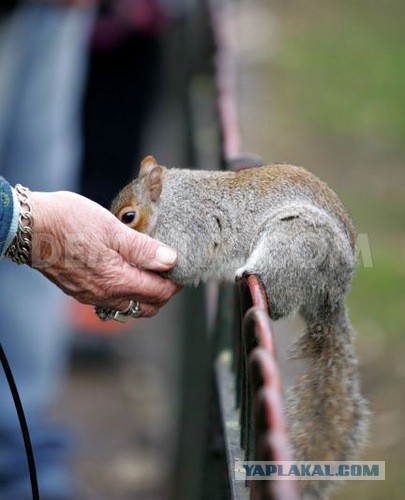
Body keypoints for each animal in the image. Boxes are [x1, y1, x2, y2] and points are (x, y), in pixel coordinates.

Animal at [111, 154, 370, 498]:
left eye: (128, 217)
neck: (168, 202)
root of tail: (332, 294)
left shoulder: (191, 228)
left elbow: (184, 265)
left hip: (293, 240)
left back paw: (248, 271)